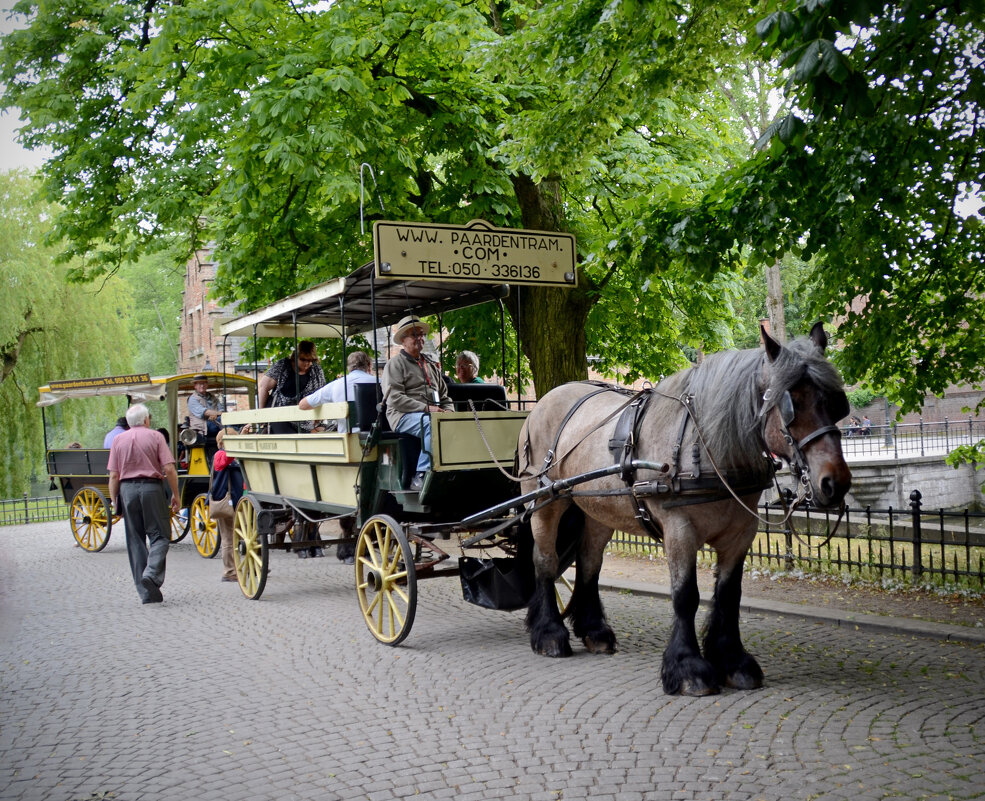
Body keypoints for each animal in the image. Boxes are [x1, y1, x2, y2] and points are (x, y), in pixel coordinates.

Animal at [520, 324, 848, 692]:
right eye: (793, 404)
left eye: (837, 403)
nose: (834, 483)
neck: (705, 446)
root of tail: (543, 402)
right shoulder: (679, 530)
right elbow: (685, 595)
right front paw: (688, 667)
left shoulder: (740, 534)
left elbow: (729, 595)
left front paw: (733, 661)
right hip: (544, 502)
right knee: (545, 560)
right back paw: (549, 633)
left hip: (598, 510)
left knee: (589, 562)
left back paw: (594, 631)